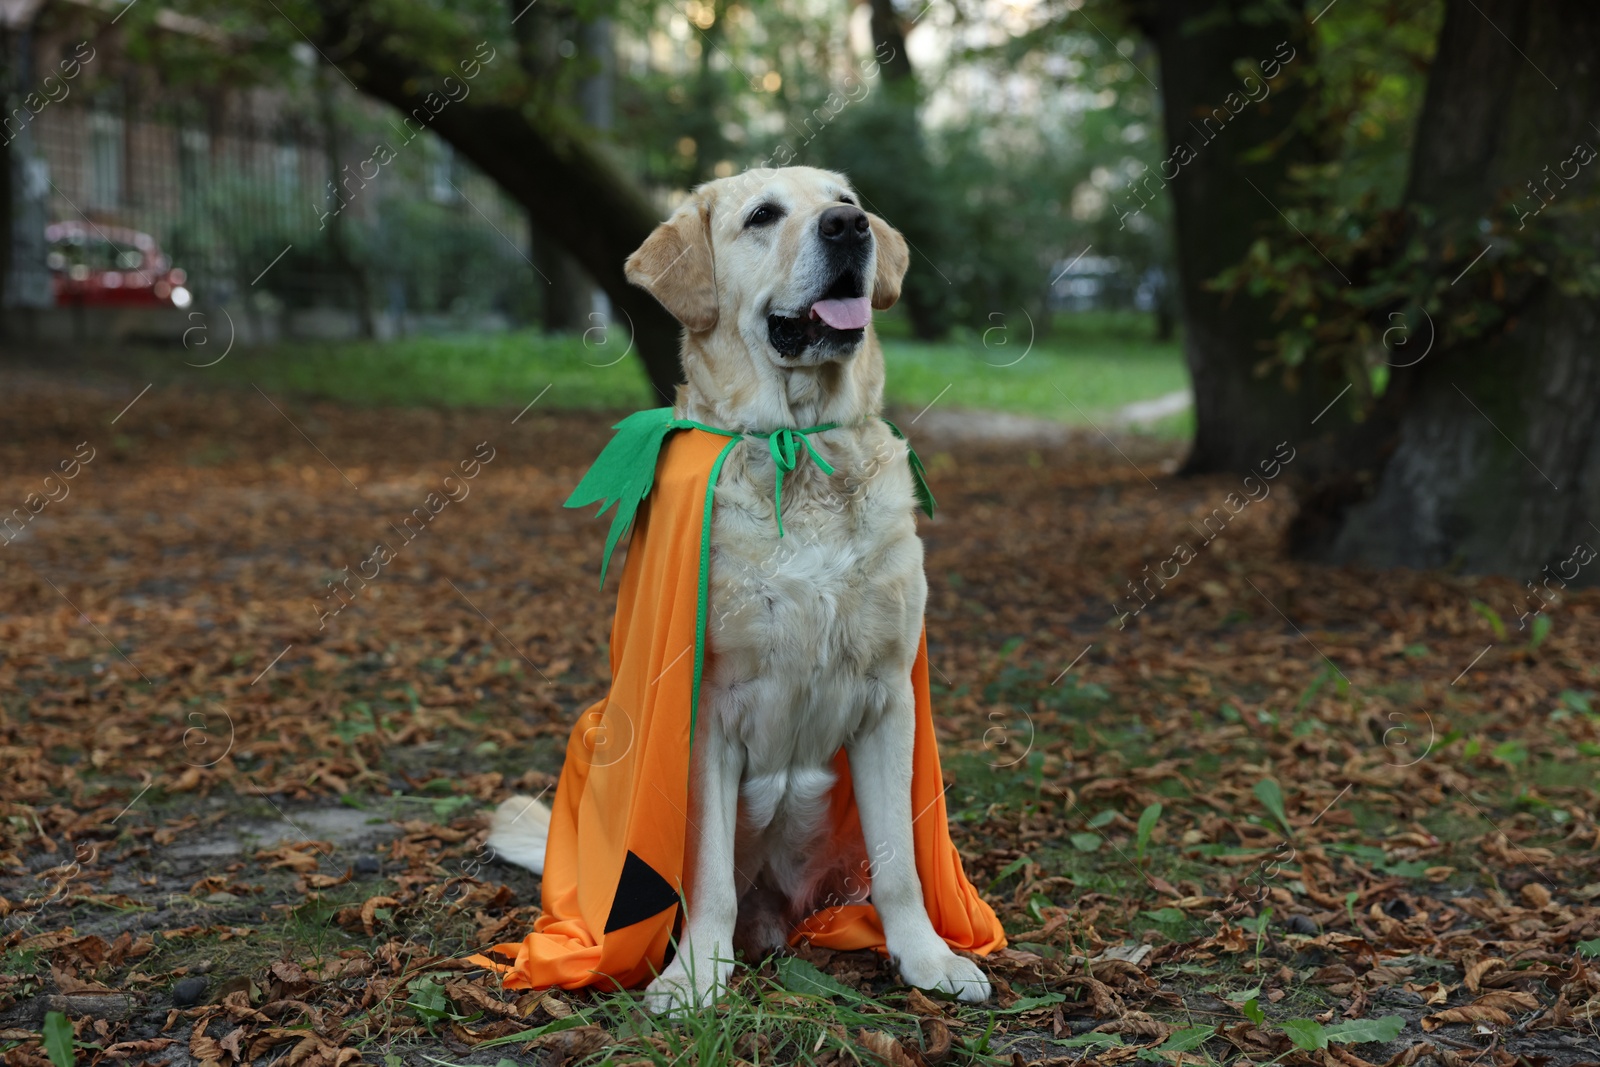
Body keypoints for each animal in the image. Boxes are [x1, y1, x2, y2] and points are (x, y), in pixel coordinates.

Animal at [486, 164, 985, 1011]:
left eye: (845, 201)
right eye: (762, 217)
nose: (849, 228)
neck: (800, 446)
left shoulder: (889, 696)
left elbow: (899, 862)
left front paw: (927, 958)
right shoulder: (705, 712)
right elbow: (708, 876)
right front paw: (693, 978)